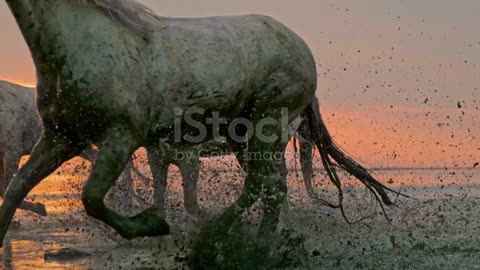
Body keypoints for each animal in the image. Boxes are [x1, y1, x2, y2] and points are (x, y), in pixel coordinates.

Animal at [1, 0, 396, 266]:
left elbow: (92, 199)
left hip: (266, 125)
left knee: (262, 184)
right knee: (271, 186)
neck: (80, 42)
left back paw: (224, 239)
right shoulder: (61, 138)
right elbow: (14, 191)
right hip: (244, 136)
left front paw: (152, 224)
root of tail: (300, 45)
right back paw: (255, 243)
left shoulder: (120, 137)